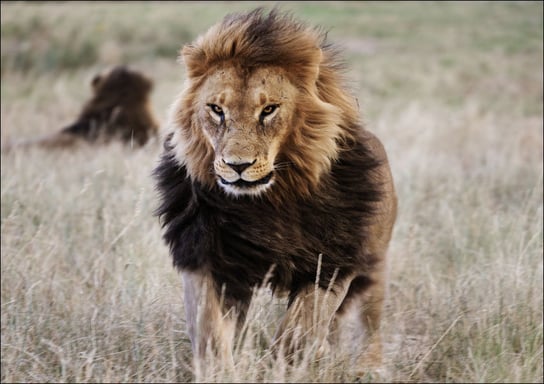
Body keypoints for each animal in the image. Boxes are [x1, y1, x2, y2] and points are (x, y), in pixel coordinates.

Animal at [153, 8, 396, 376]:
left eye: (268, 110)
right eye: (216, 109)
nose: (237, 165)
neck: (269, 203)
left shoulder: (332, 263)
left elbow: (300, 327)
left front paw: (282, 366)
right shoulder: (207, 257)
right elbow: (209, 330)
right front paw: (221, 372)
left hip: (374, 268)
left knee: (369, 323)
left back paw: (368, 367)